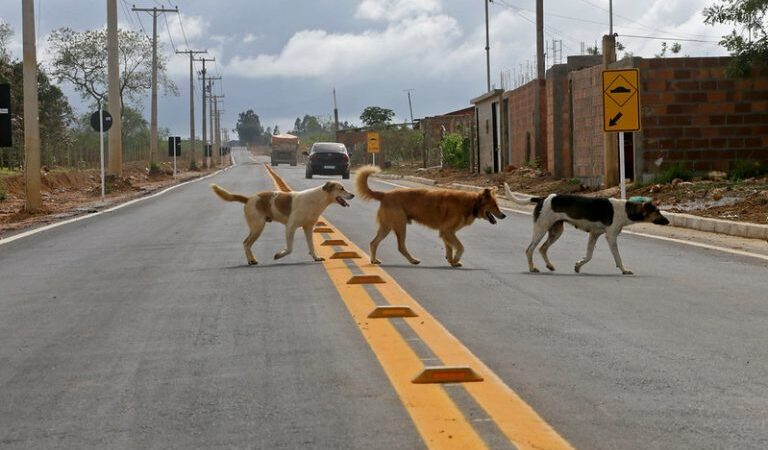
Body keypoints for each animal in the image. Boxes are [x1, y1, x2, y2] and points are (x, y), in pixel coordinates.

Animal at [210, 182, 354, 266]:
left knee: (247, 243)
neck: (317, 199)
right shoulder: (290, 227)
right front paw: (279, 255)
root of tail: (249, 199)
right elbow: (290, 249)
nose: (352, 195)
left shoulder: (308, 228)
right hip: (258, 227)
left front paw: (316, 257)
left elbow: (311, 246)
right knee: (246, 243)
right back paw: (251, 260)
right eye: (341, 188)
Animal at [356, 167, 508, 268]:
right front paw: (455, 259)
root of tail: (384, 195)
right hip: (400, 226)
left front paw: (451, 260)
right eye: (494, 205)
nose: (504, 215)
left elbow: (449, 247)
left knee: (373, 242)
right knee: (400, 246)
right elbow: (460, 247)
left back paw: (374, 260)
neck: (472, 203)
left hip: (387, 227)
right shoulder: (447, 230)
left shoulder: (446, 232)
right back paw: (412, 260)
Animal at [504, 183, 664, 274]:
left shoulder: (594, 235)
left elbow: (589, 255)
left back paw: (549, 266)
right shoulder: (611, 237)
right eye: (657, 212)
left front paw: (578, 266)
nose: (667, 221)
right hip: (541, 229)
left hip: (556, 231)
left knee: (542, 248)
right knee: (530, 249)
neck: (625, 209)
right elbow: (618, 257)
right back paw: (532, 268)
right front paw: (624, 270)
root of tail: (543, 198)